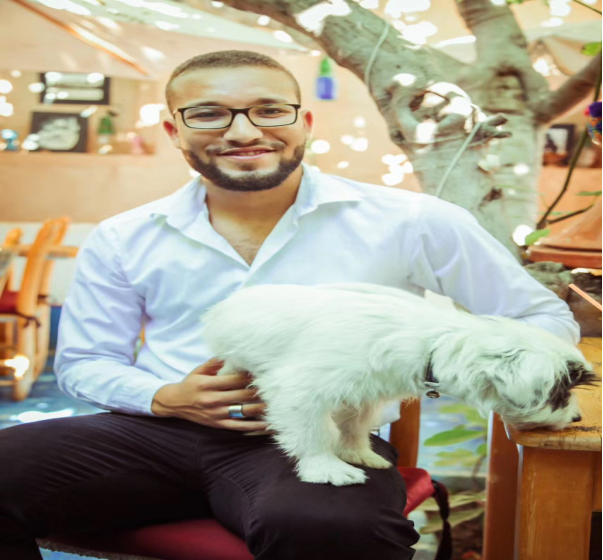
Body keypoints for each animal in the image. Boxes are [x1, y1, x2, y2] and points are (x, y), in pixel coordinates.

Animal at [202, 283, 597, 486]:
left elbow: (354, 425)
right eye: (561, 393)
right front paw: (325, 467)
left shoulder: (363, 393)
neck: (434, 343)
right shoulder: (299, 389)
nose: (578, 420)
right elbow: (316, 432)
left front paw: (357, 453)